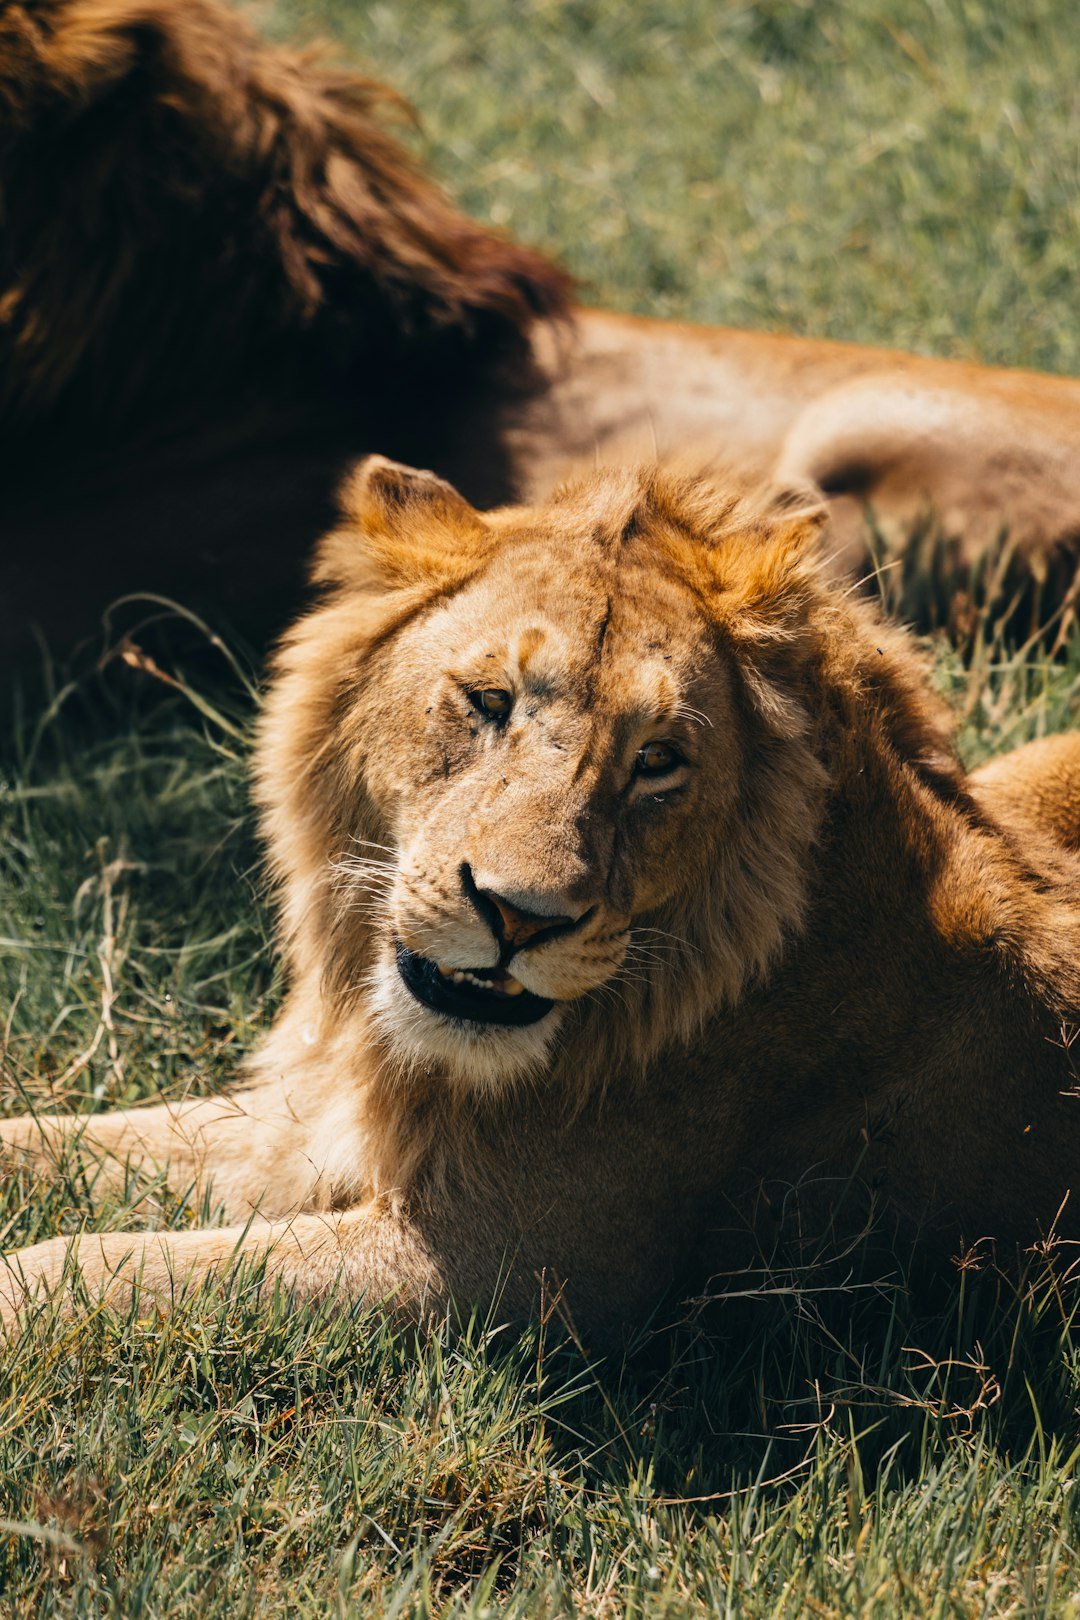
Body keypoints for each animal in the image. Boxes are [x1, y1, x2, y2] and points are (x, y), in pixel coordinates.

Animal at [4, 457, 1080, 1335]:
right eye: (489, 701)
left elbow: (113, 1272)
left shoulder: (508, 1261)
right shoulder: (331, 1120)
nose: (520, 916)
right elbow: (76, 1147)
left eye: (658, 760)